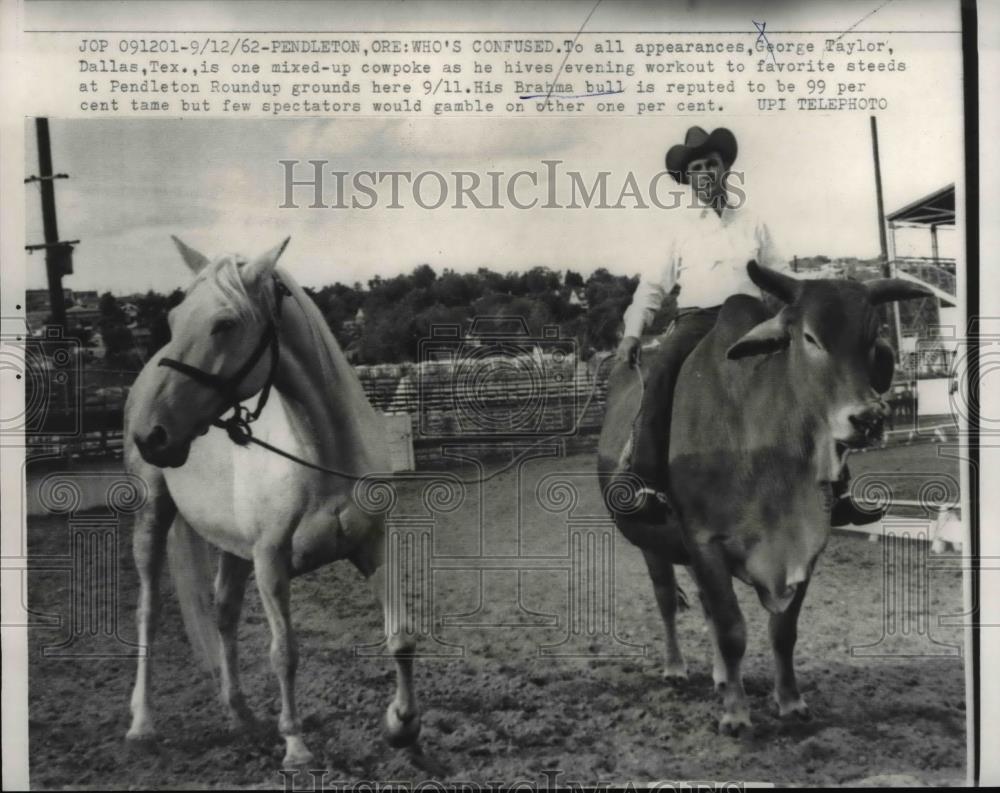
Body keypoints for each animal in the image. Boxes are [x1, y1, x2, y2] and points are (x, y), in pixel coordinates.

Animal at [125, 237, 422, 768]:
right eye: (174, 319)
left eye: (224, 324)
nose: (150, 434)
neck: (320, 450)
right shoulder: (270, 562)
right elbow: (284, 653)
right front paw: (297, 746)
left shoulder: (372, 546)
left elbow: (401, 636)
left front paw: (401, 726)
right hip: (153, 517)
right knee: (149, 611)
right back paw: (142, 723)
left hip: (232, 547)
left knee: (222, 613)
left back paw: (240, 714)